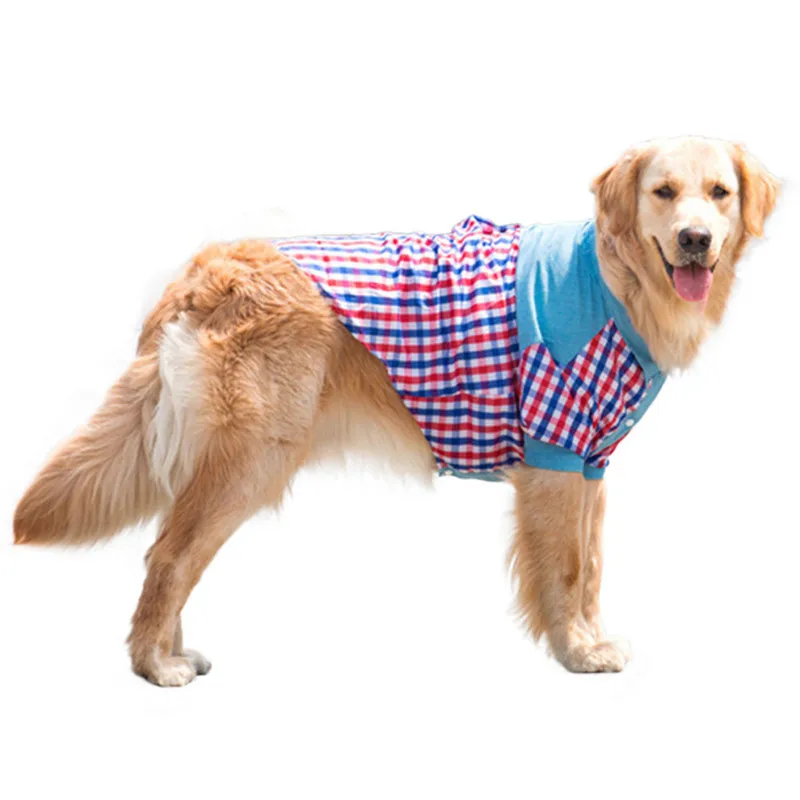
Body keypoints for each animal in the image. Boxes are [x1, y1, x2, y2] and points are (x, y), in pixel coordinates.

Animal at [13, 137, 778, 686]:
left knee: (170, 552)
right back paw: (153, 664)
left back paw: (174, 649)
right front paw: (577, 653)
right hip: (256, 456)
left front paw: (590, 639)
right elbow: (564, 569)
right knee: (170, 555)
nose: (695, 239)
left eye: (720, 194)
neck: (616, 280)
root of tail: (207, 269)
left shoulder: (589, 465)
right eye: (664, 193)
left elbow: (589, 567)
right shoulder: (555, 459)